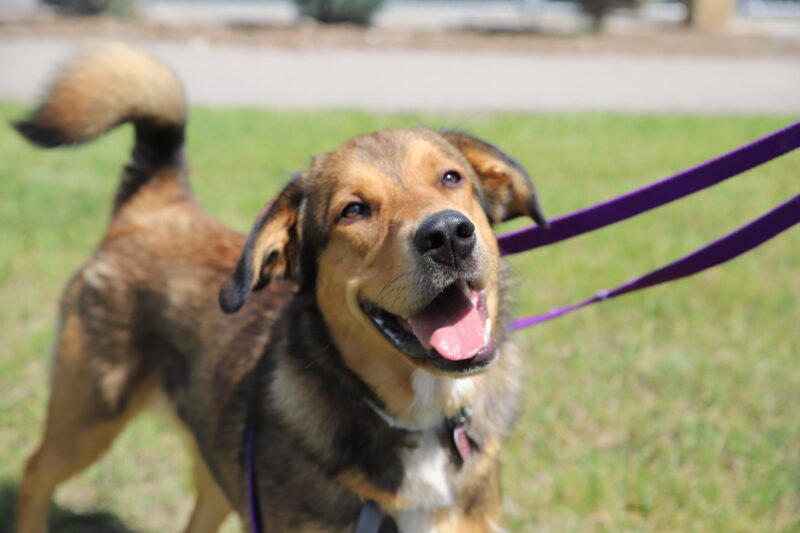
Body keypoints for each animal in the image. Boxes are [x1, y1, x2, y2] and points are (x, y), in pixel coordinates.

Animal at [13, 43, 547, 533]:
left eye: (451, 177)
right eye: (353, 210)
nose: (448, 235)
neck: (421, 418)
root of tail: (155, 203)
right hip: (89, 414)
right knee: (35, 472)